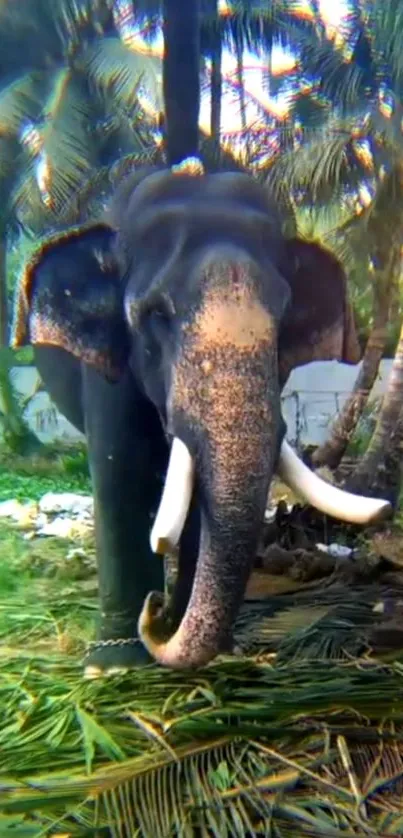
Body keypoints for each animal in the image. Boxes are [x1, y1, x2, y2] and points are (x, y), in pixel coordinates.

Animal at [12, 166, 392, 676]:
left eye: (285, 315)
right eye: (155, 313)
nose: (151, 613)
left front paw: (202, 641)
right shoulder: (110, 366)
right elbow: (119, 475)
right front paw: (113, 664)